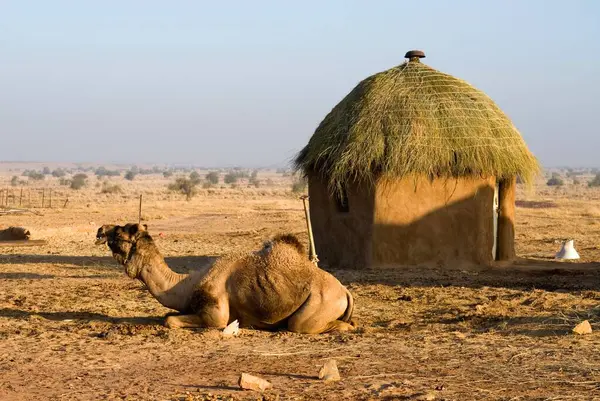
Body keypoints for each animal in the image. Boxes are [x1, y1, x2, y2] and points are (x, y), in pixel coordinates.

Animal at [95, 223, 356, 332]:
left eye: (120, 232)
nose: (100, 230)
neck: (185, 285)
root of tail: (345, 291)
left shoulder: (216, 313)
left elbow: (169, 320)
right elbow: (167, 315)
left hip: (319, 305)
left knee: (302, 325)